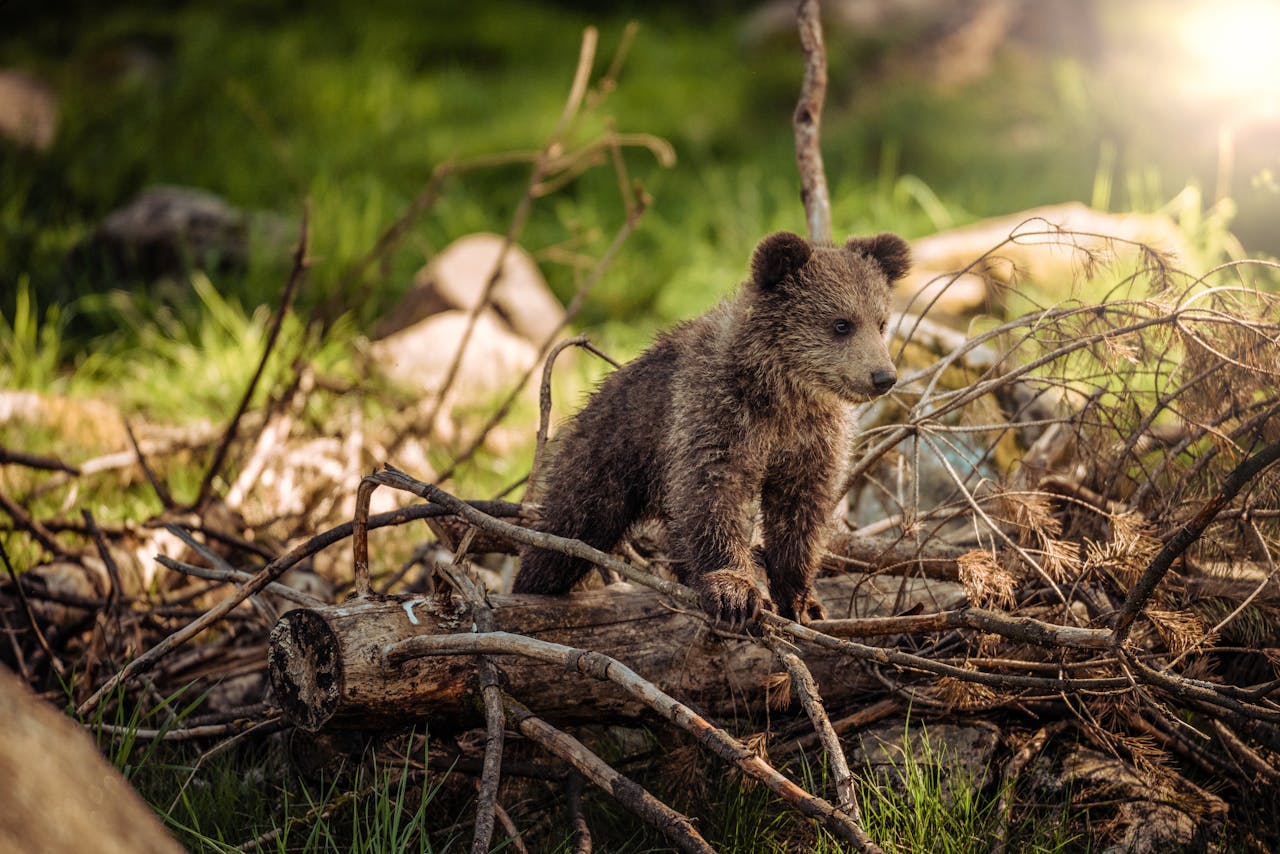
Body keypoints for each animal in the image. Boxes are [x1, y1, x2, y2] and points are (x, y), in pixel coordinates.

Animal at [513, 230, 910, 626]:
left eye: (880, 322)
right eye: (841, 323)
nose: (883, 377)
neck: (783, 393)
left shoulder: (810, 439)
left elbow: (801, 511)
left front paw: (802, 601)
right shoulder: (717, 414)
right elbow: (713, 494)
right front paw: (734, 592)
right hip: (607, 456)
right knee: (568, 529)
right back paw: (532, 585)